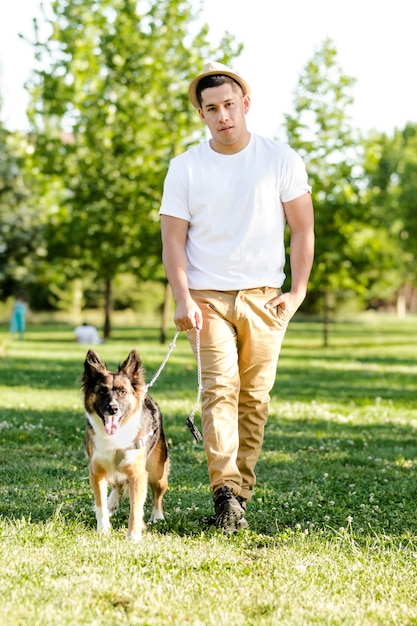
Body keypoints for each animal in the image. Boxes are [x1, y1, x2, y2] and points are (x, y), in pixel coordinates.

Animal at [81, 348, 169, 540]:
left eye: (122, 392)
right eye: (101, 391)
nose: (112, 409)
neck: (115, 437)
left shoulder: (138, 474)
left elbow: (135, 509)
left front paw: (133, 537)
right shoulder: (96, 471)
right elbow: (100, 505)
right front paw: (103, 530)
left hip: (157, 472)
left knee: (157, 495)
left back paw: (157, 516)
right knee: (117, 485)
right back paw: (112, 502)